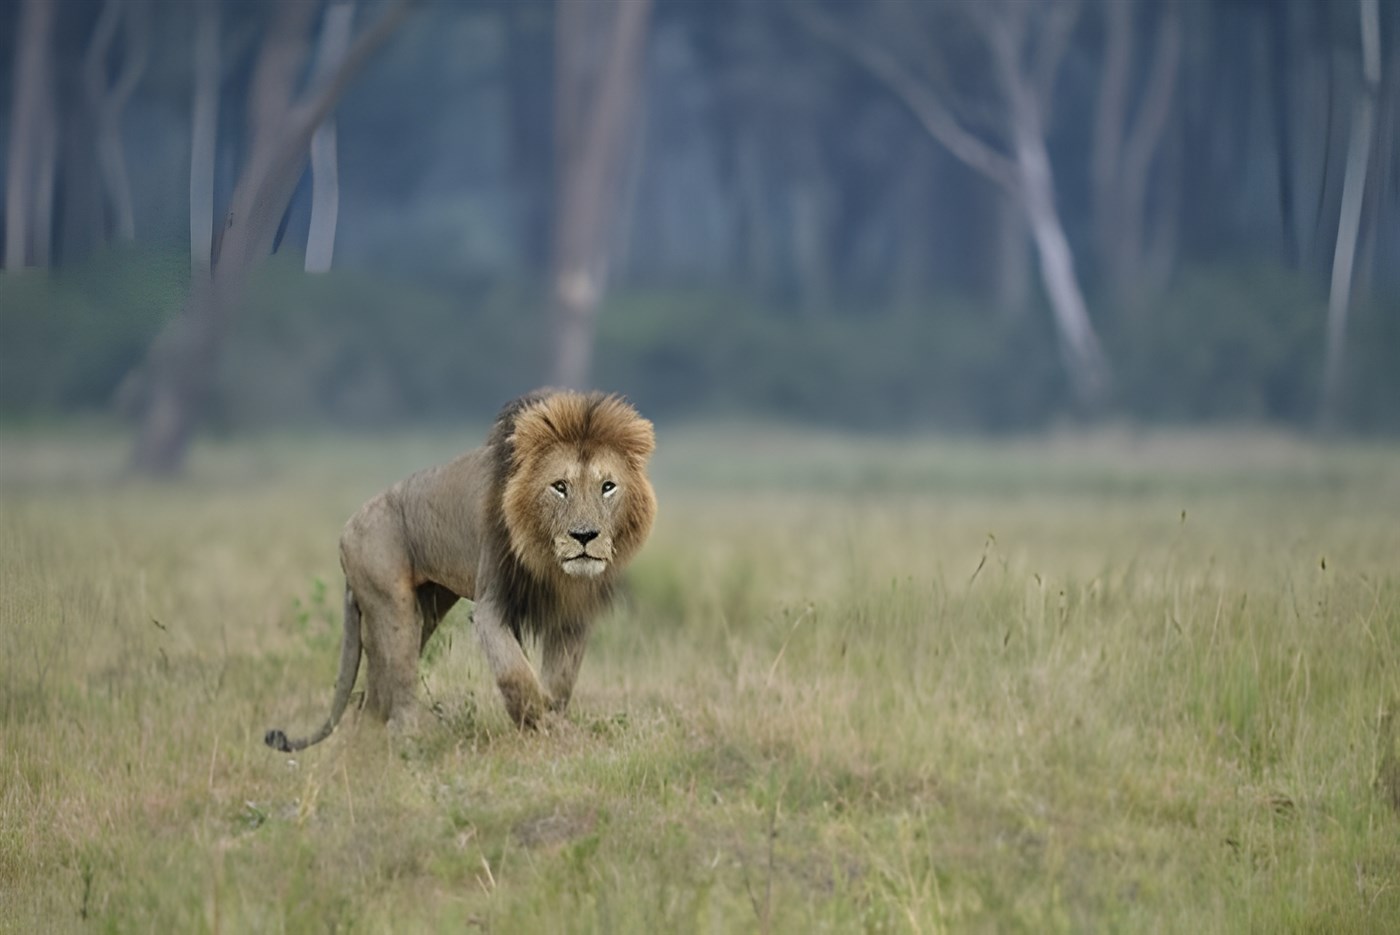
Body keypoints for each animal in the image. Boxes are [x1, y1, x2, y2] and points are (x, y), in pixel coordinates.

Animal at [265, 389, 656, 751]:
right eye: (560, 487)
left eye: (608, 487)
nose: (585, 536)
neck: (549, 564)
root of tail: (345, 531)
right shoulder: (492, 603)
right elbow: (515, 672)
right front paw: (539, 727)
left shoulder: (572, 614)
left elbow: (560, 680)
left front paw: (556, 726)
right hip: (393, 604)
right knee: (399, 687)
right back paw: (408, 745)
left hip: (426, 608)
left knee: (371, 697)